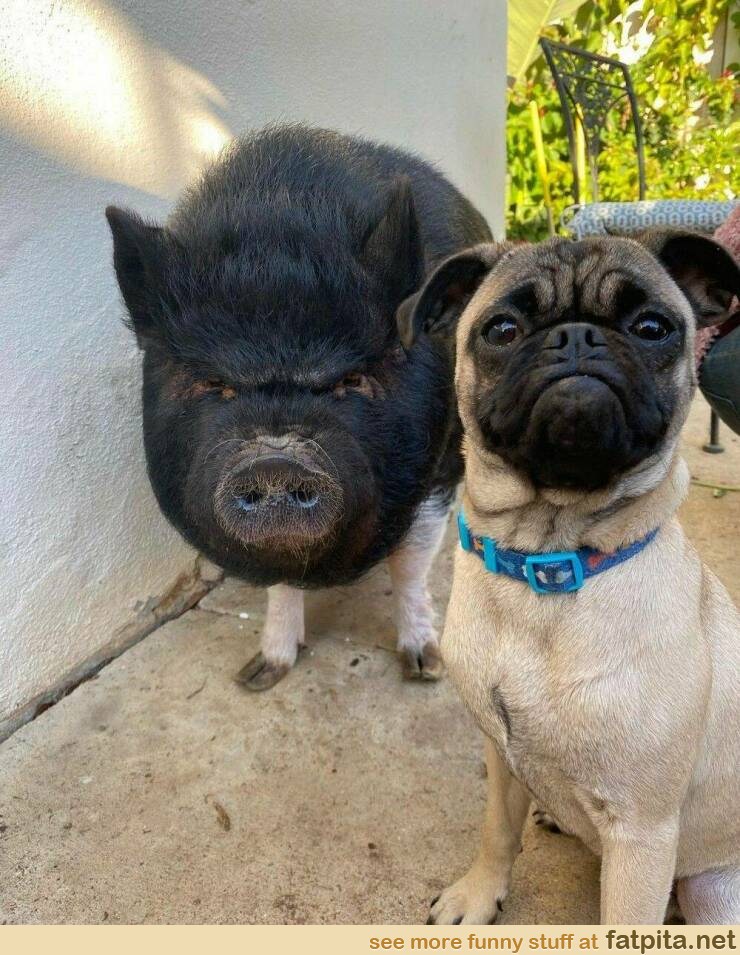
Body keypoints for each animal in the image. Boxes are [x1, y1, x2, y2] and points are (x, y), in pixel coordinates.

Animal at [106, 124, 491, 690]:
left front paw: (426, 668)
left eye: (352, 378)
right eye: (215, 383)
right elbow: (280, 586)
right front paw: (259, 675)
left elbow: (411, 563)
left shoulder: (439, 469)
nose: (275, 461)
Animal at [396, 231, 740, 924]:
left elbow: (624, 921)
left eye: (653, 327)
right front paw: (479, 894)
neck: (548, 558)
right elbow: (497, 831)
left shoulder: (642, 833)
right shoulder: (501, 755)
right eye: (501, 329)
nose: (577, 336)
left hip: (713, 889)